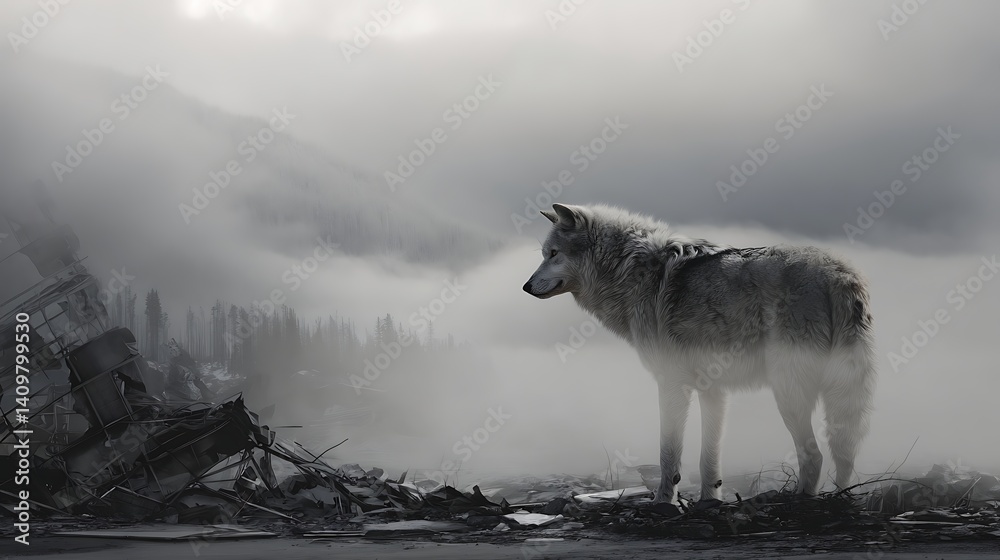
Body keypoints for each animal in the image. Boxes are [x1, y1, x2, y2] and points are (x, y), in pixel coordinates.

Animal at [523, 203, 876, 503]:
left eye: (553, 254)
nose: (525, 287)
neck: (630, 270)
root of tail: (841, 274)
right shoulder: (713, 391)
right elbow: (710, 459)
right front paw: (710, 501)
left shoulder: (671, 384)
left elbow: (668, 454)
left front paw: (663, 502)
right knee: (844, 452)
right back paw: (841, 498)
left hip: (788, 392)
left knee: (814, 455)